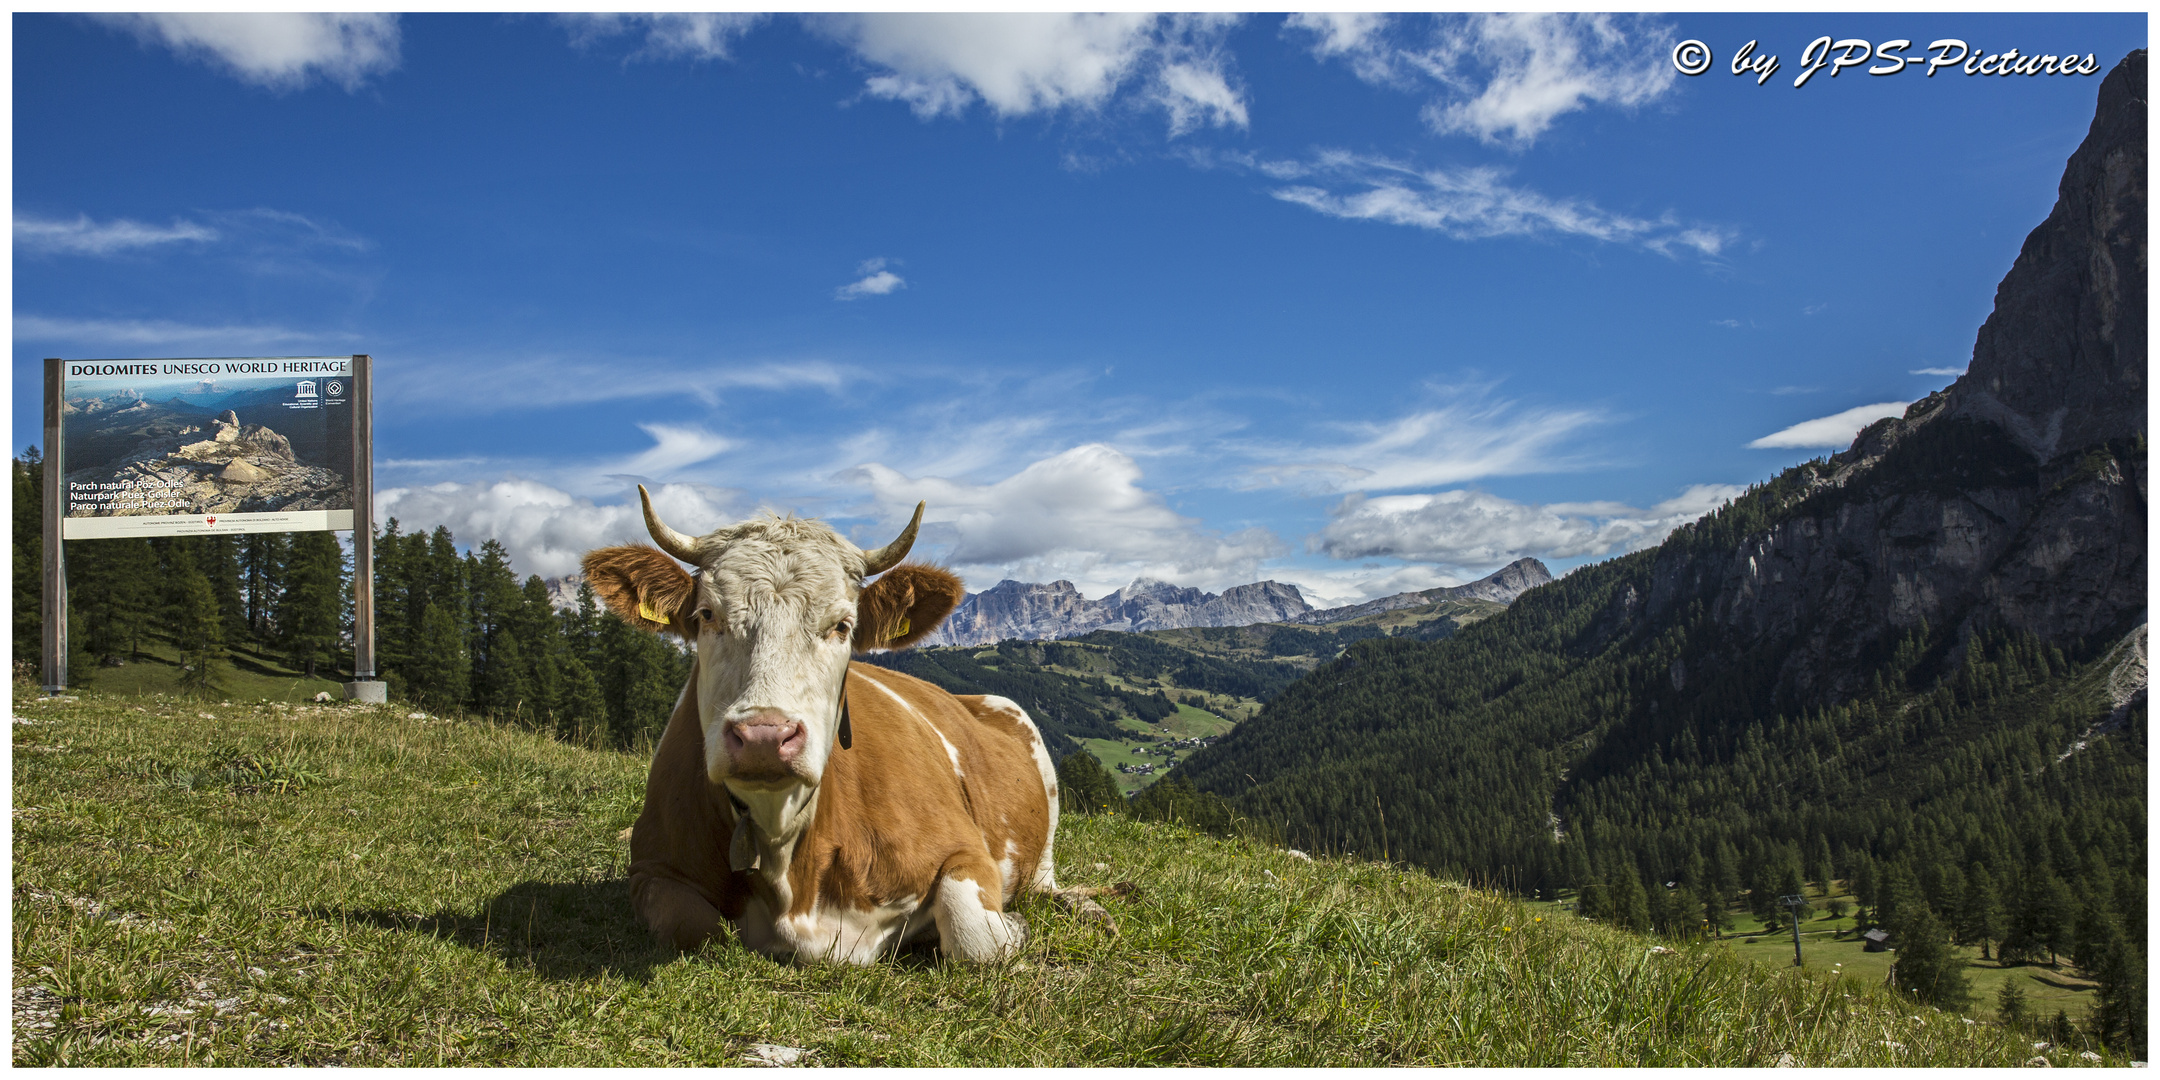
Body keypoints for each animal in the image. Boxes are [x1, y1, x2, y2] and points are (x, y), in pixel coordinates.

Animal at [583, 488, 1062, 963]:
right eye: (706, 614)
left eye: (843, 625)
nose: (763, 738)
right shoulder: (651, 866)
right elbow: (690, 924)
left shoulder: (964, 848)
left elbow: (976, 938)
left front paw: (1012, 926)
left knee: (1042, 879)